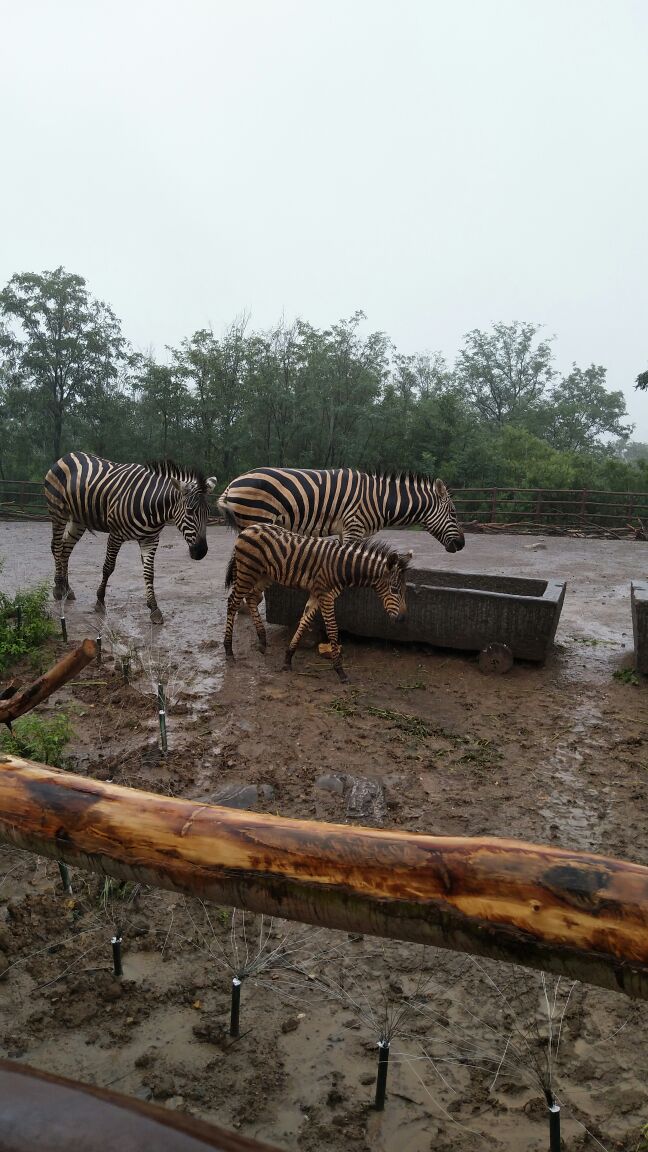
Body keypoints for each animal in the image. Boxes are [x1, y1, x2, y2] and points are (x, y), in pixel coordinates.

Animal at [45, 453, 217, 626]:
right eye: (190, 511)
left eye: (208, 512)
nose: (201, 552)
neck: (152, 506)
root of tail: (69, 455)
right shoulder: (115, 535)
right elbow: (108, 567)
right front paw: (100, 601)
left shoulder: (150, 539)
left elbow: (149, 573)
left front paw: (154, 609)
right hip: (58, 511)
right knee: (57, 546)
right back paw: (58, 588)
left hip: (79, 519)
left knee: (65, 549)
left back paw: (67, 589)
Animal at [216, 470, 463, 555]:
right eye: (453, 514)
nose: (462, 545)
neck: (380, 500)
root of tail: (233, 483)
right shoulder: (354, 527)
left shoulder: (348, 531)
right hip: (256, 518)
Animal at [224, 525, 410, 681]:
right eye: (394, 590)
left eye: (404, 590)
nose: (402, 619)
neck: (341, 568)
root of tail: (248, 527)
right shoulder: (326, 596)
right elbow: (333, 630)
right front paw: (340, 671)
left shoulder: (316, 594)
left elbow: (304, 622)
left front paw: (288, 658)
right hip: (247, 572)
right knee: (232, 602)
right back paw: (229, 651)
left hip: (264, 575)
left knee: (251, 597)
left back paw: (262, 641)